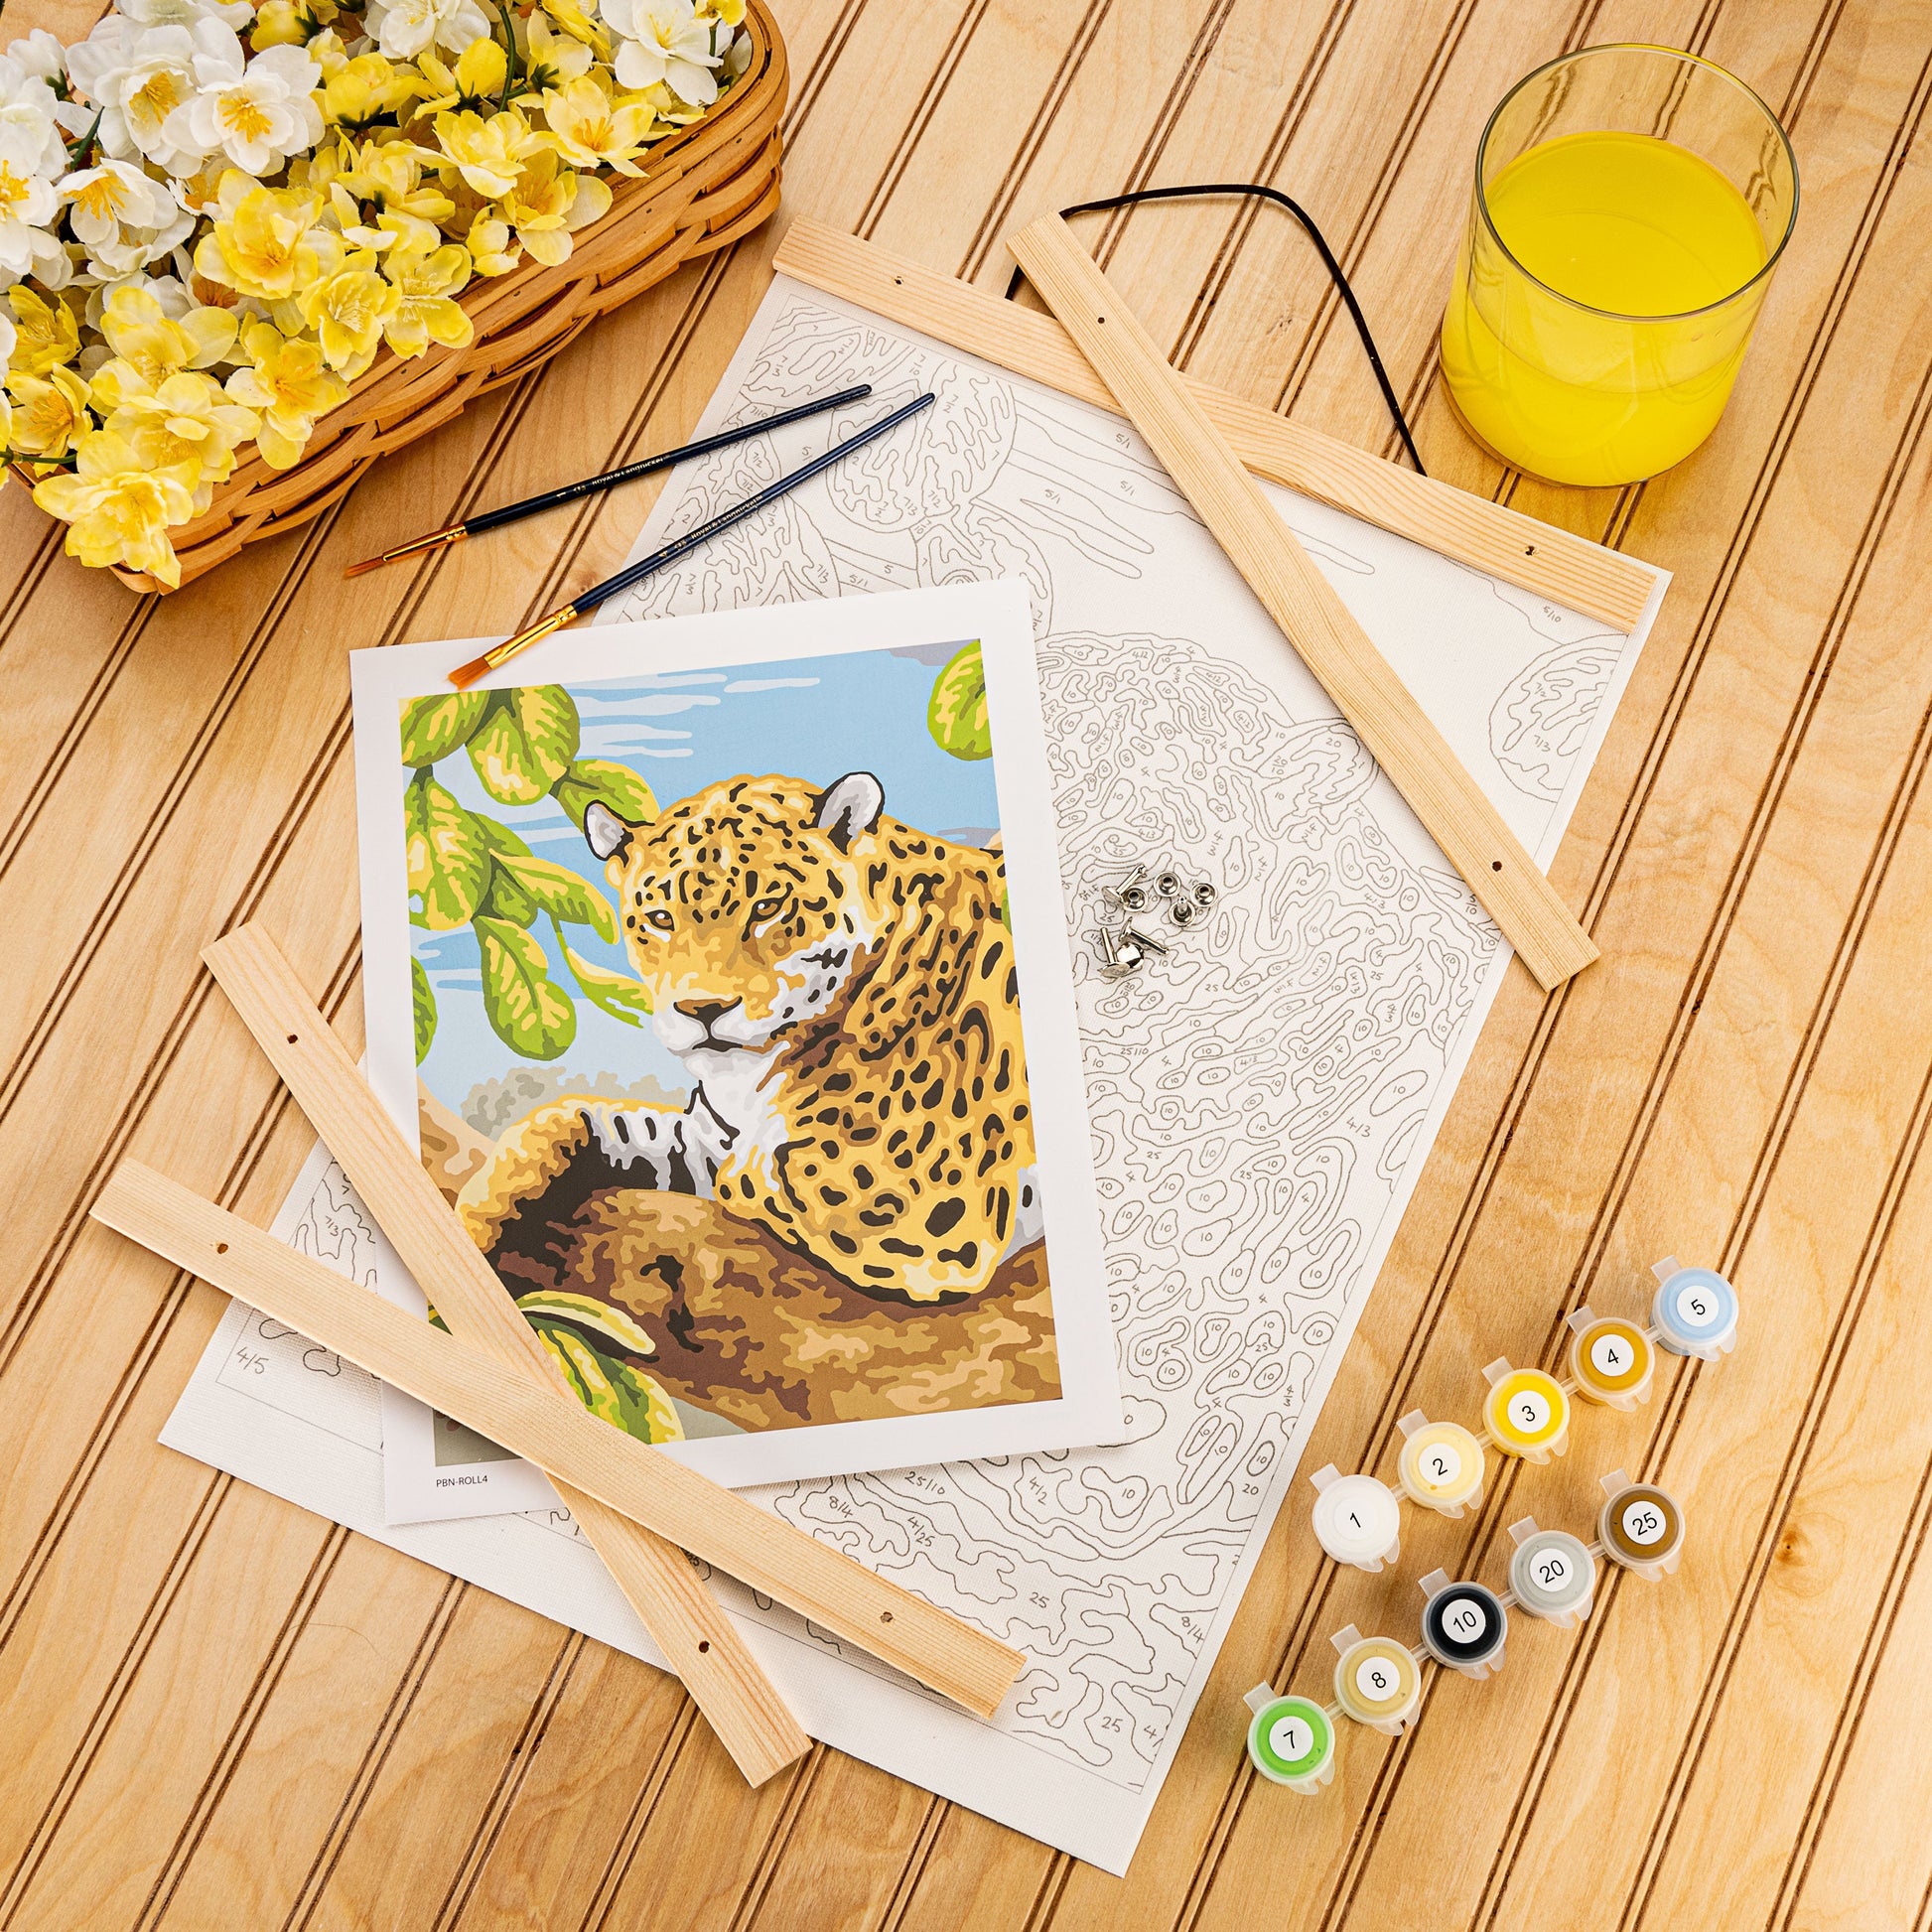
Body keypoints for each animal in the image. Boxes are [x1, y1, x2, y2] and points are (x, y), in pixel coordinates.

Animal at [457, 770, 1048, 1339]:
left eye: (767, 907)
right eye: (660, 919)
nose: (703, 1008)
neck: (750, 1077)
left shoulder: (910, 1216)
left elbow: (745, 1173)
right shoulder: (700, 1138)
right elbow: (573, 1118)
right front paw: (472, 1224)